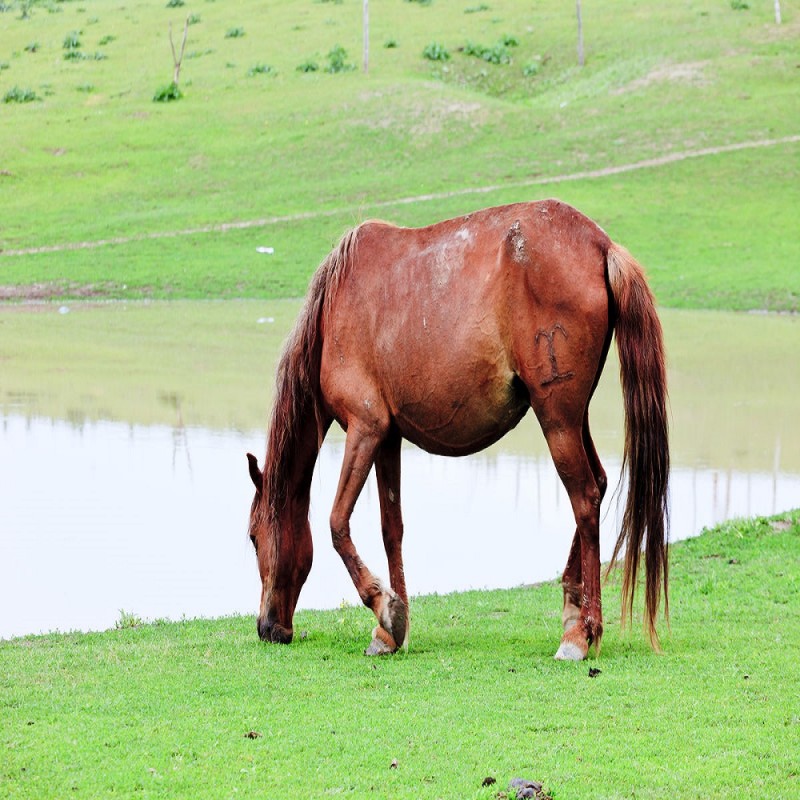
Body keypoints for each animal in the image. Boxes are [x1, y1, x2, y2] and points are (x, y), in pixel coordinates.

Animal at [247, 199, 669, 661]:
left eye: (253, 537)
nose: (267, 627)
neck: (333, 313)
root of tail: (601, 245)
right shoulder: (388, 438)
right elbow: (391, 528)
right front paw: (391, 630)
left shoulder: (365, 428)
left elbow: (338, 524)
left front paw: (383, 605)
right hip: (573, 417)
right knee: (600, 483)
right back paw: (573, 611)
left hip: (556, 419)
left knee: (586, 498)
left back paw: (580, 634)